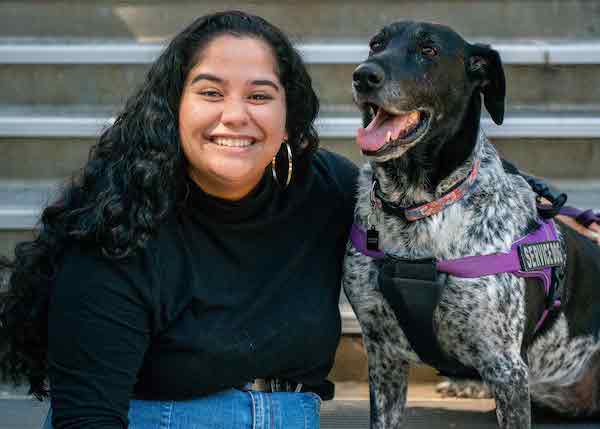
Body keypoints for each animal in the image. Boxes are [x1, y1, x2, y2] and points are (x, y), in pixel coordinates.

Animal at [342, 20, 600, 428]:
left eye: (429, 50)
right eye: (376, 44)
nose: (364, 75)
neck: (418, 206)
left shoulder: (507, 369)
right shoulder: (383, 355)